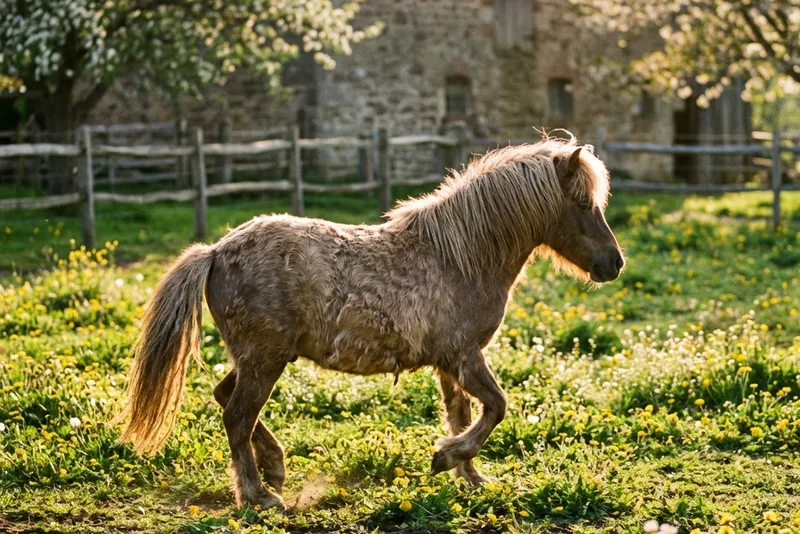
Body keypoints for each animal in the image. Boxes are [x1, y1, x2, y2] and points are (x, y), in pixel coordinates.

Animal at [115, 133, 624, 510]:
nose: (613, 264)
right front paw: (446, 458)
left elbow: (463, 414)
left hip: (258, 357)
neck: (460, 257)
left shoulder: (450, 363)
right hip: (264, 359)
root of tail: (217, 250)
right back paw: (259, 495)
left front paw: (471, 476)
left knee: (226, 399)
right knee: (237, 415)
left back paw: (276, 467)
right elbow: (496, 407)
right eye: (583, 205)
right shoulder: (463, 355)